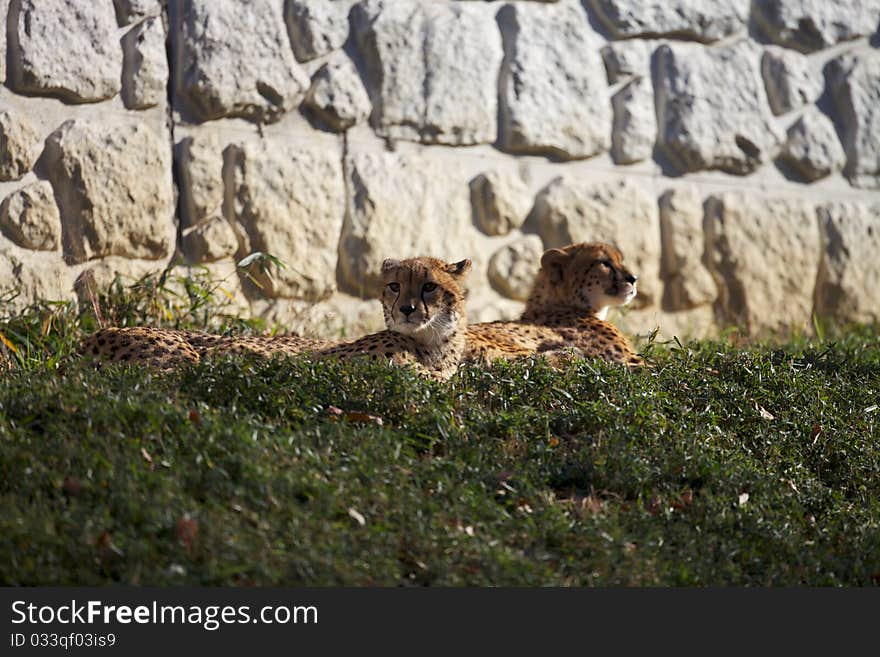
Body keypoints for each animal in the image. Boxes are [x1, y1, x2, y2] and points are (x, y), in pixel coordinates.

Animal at [79, 255, 470, 380]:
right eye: (394, 286)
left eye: (429, 287)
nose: (406, 309)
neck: (431, 342)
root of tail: (89, 339)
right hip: (185, 356)